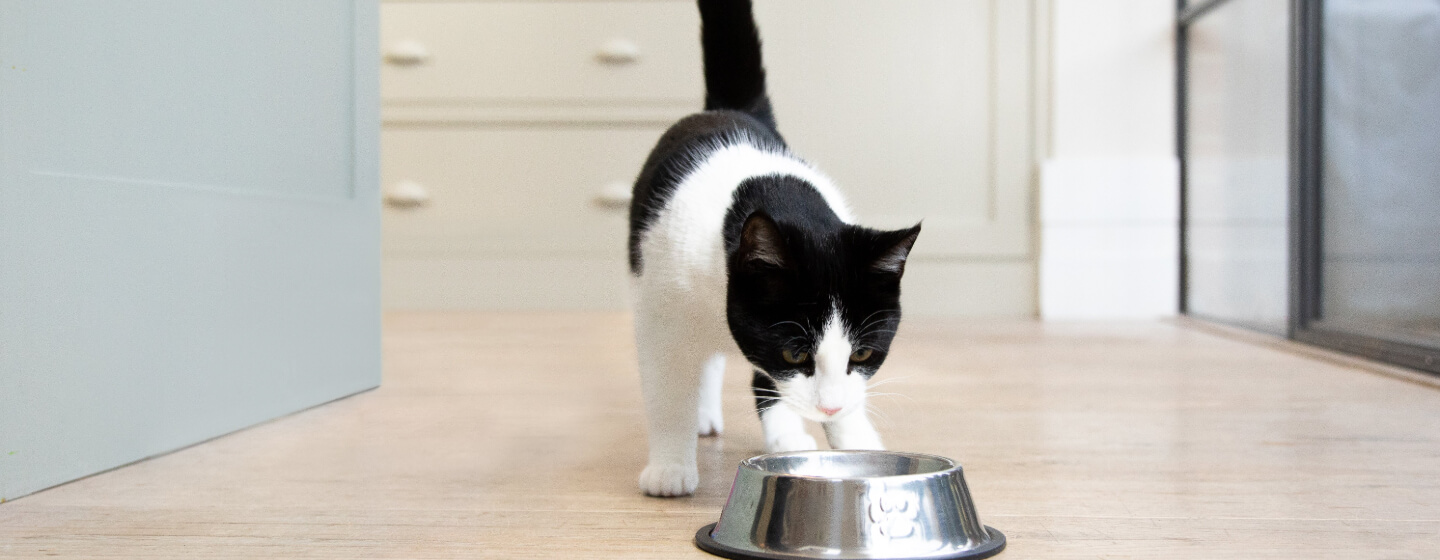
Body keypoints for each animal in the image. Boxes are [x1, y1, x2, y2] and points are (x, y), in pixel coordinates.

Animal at [624, 0, 915, 498]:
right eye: (796, 354)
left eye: (862, 355)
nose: (829, 408)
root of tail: (728, 110)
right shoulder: (661, 310)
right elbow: (667, 388)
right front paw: (670, 467)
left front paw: (857, 442)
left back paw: (783, 434)